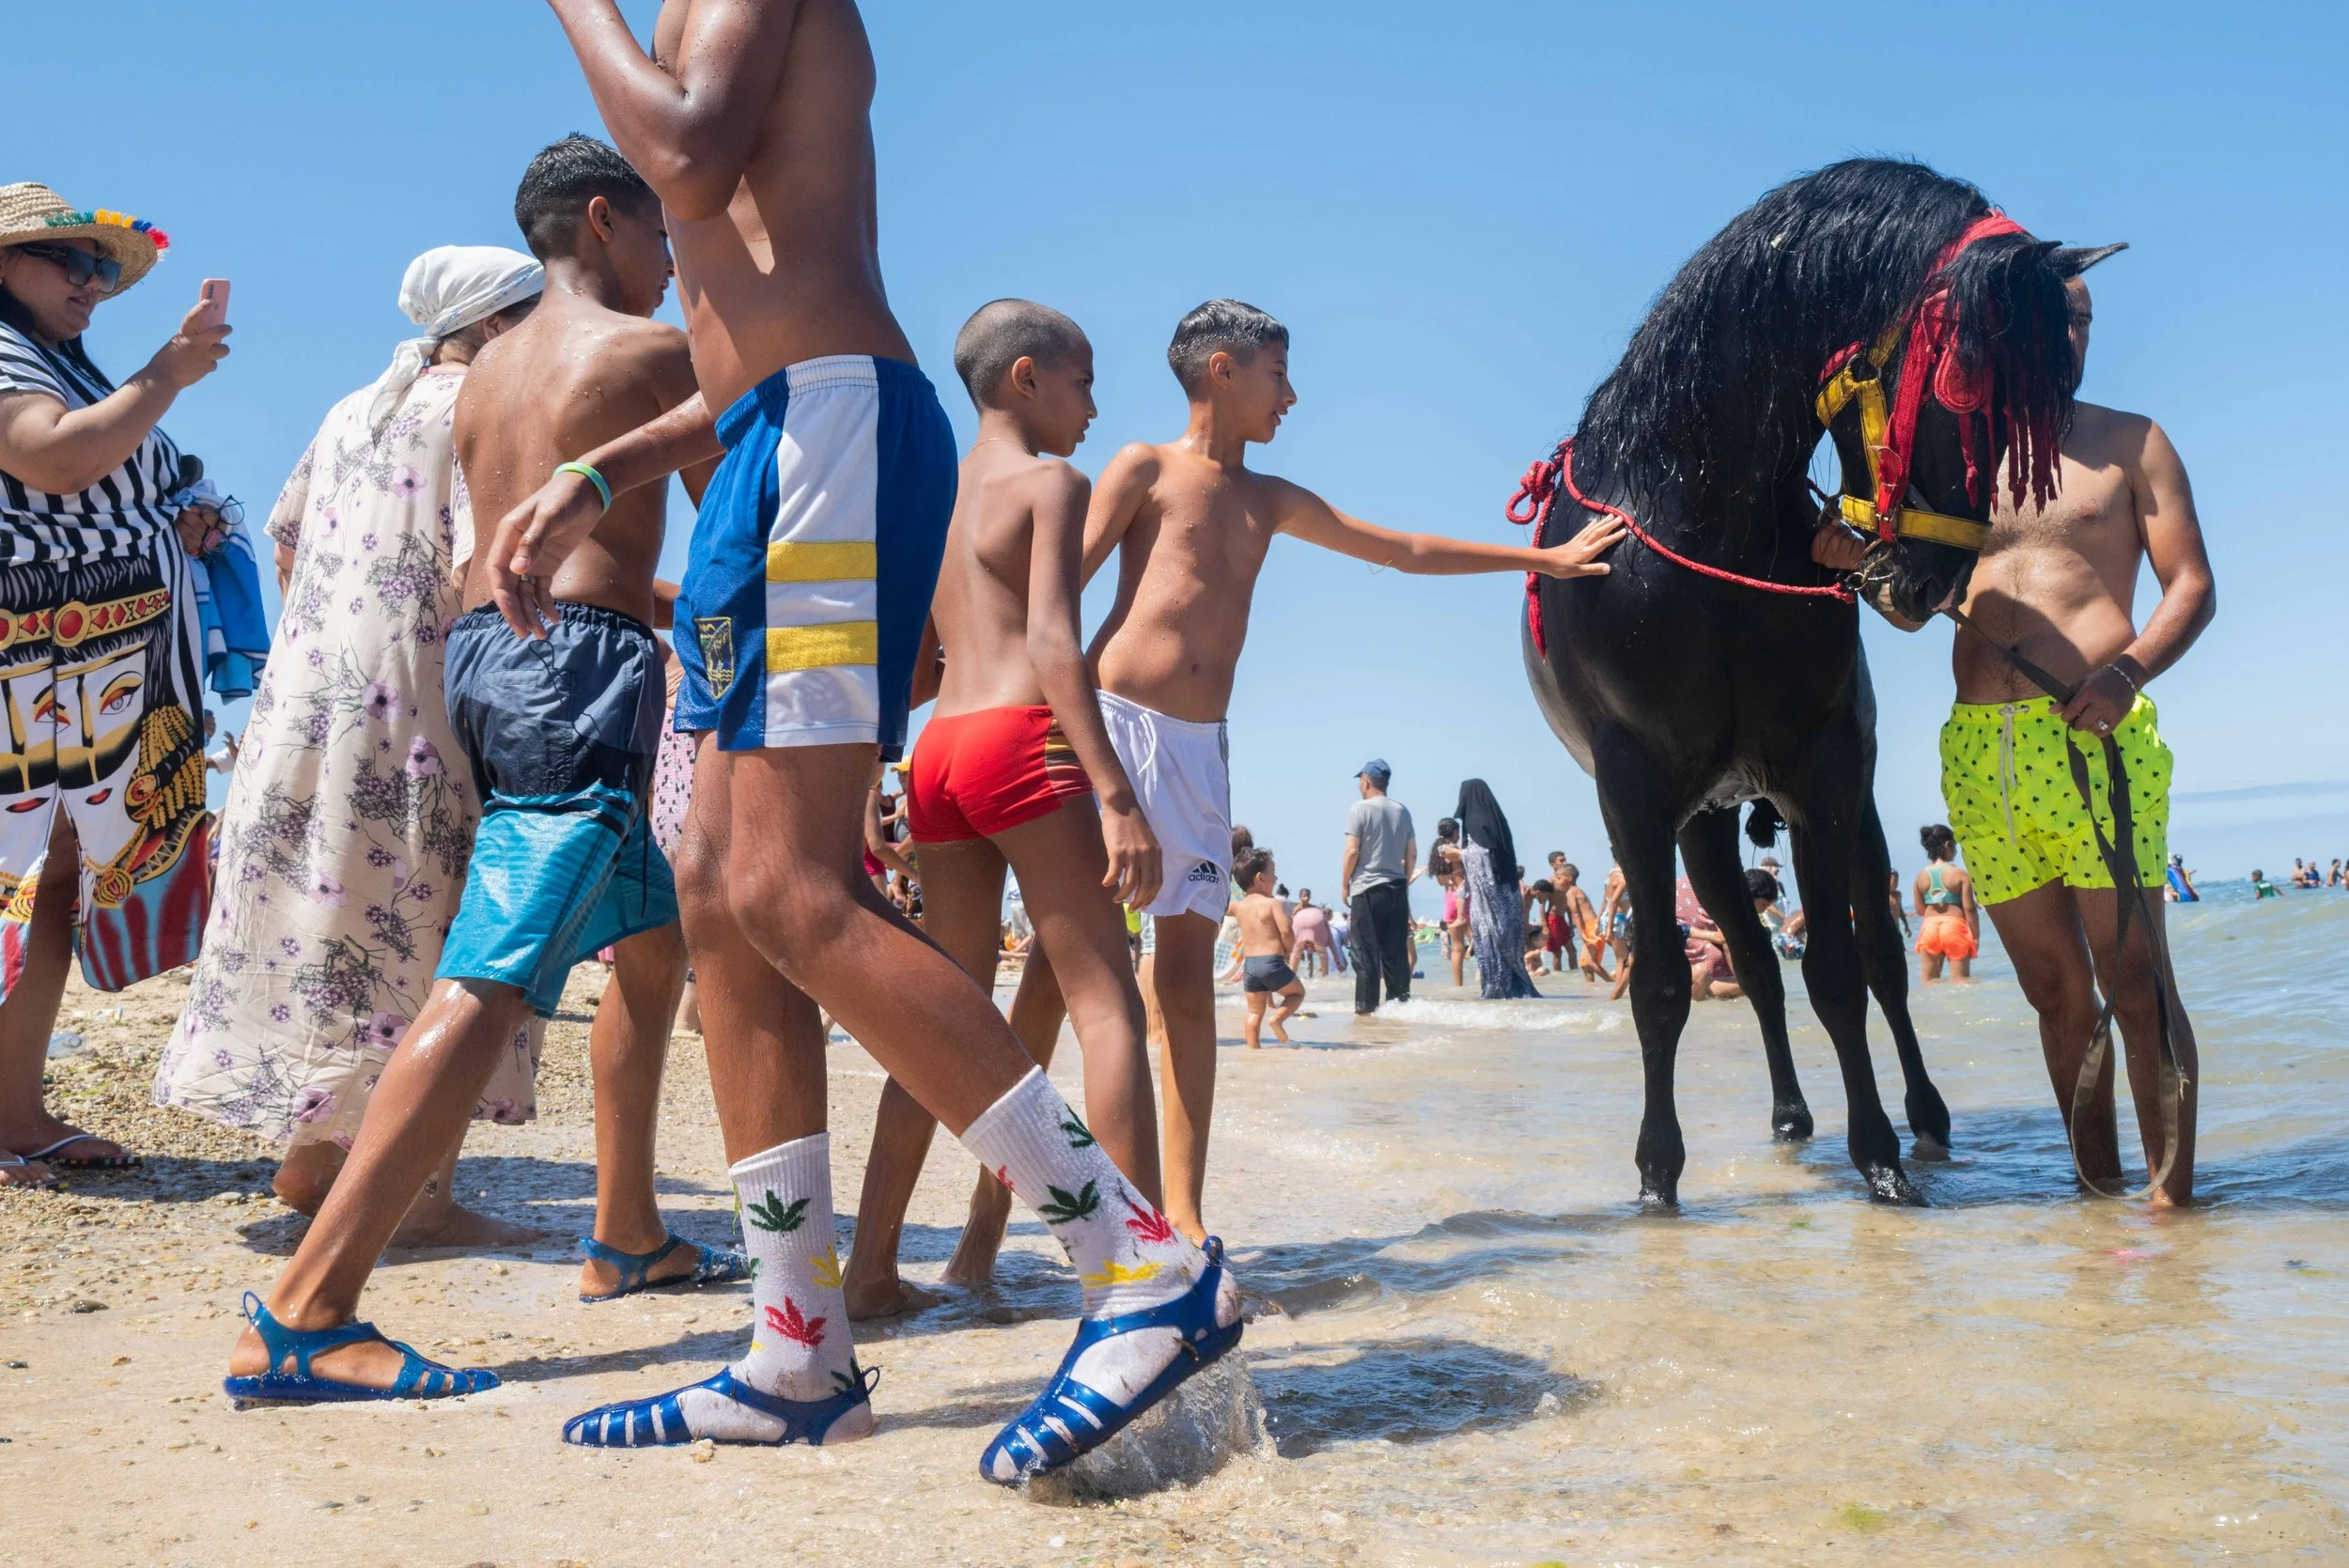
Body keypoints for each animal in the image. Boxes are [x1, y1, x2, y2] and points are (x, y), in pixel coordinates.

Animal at [1512, 158, 2076, 1206]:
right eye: (1962, 384)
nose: (1931, 582)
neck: (1696, 522)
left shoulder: (1824, 768)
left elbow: (1845, 975)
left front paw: (1881, 1156)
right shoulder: (1634, 790)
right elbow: (1664, 983)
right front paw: (1657, 1174)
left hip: (1849, 805)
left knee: (1883, 961)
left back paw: (1924, 1118)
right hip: (1703, 824)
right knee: (1751, 966)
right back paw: (1785, 1115)